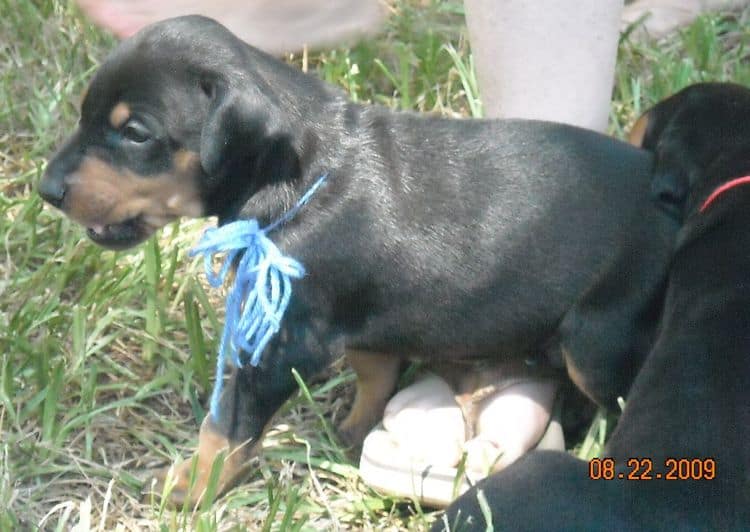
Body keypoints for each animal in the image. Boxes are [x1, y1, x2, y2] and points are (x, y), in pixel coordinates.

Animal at [38, 15, 680, 502]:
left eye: (135, 133)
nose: (46, 190)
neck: (297, 171)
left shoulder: (281, 340)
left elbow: (226, 423)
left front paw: (190, 486)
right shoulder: (364, 311)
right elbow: (374, 368)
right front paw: (352, 430)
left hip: (597, 336)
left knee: (606, 392)